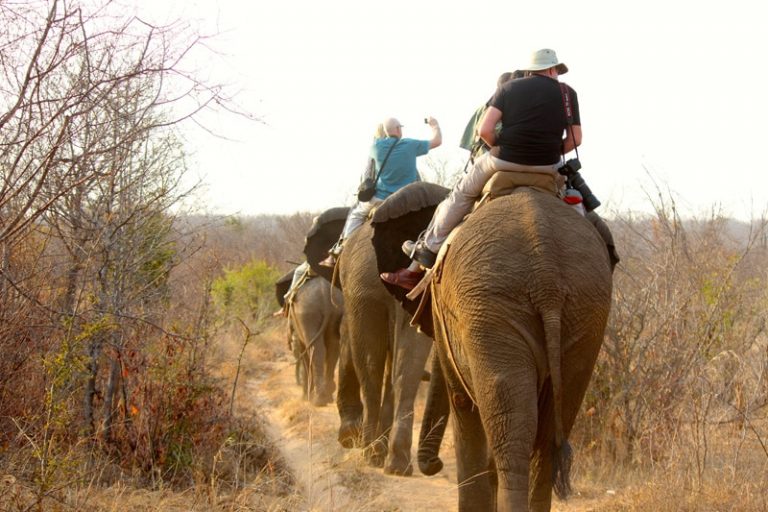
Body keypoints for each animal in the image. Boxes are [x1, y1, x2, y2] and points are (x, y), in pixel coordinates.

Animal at [275, 268, 343, 406]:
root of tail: (325, 297)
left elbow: (303, 351)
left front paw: (305, 397)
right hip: (336, 309)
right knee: (333, 346)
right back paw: (327, 395)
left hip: (307, 312)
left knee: (315, 349)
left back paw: (318, 400)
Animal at [306, 204, 435, 476]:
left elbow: (348, 339)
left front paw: (348, 438)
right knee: (404, 370)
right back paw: (396, 463)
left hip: (364, 288)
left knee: (370, 365)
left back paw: (370, 452)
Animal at [372, 180, 613, 511]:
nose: (434, 465)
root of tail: (547, 277)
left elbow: (462, 402)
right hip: (585, 309)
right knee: (550, 428)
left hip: (491, 306)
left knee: (512, 430)